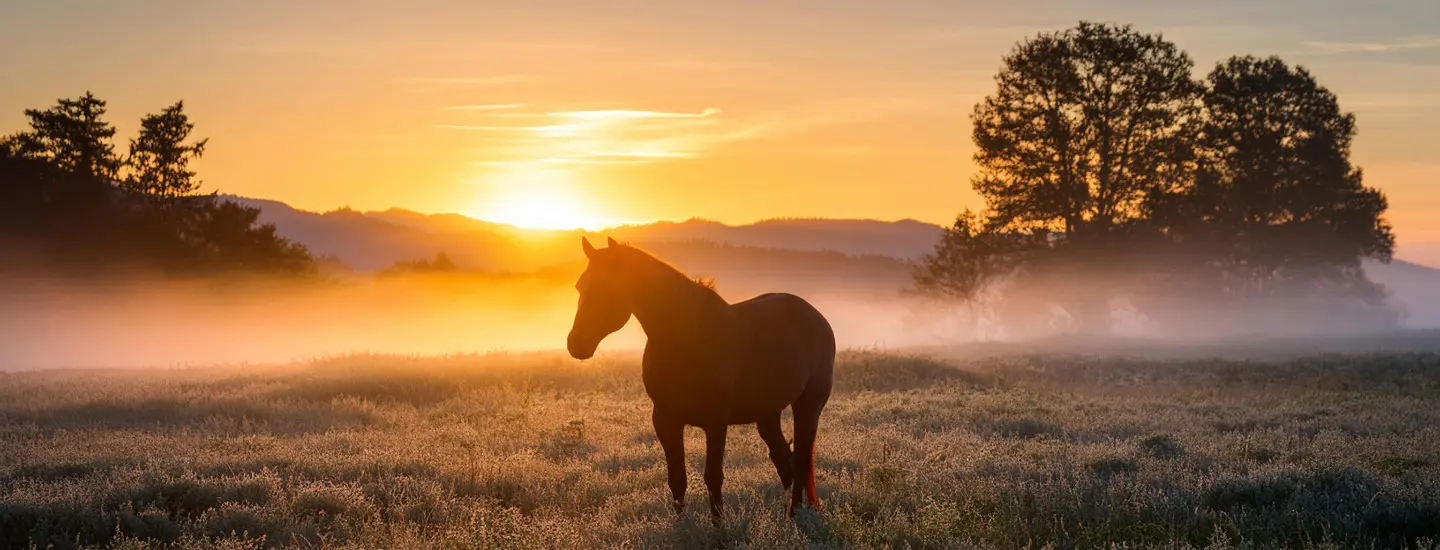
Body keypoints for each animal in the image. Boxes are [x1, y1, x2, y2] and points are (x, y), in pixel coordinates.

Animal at [566, 236, 835, 519]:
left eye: (606, 285)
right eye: (580, 285)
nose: (576, 344)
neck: (686, 339)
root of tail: (817, 317)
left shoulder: (716, 422)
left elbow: (713, 478)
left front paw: (719, 526)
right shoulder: (665, 420)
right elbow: (677, 480)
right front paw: (682, 524)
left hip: (807, 406)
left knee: (801, 460)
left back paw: (796, 516)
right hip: (767, 415)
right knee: (787, 461)